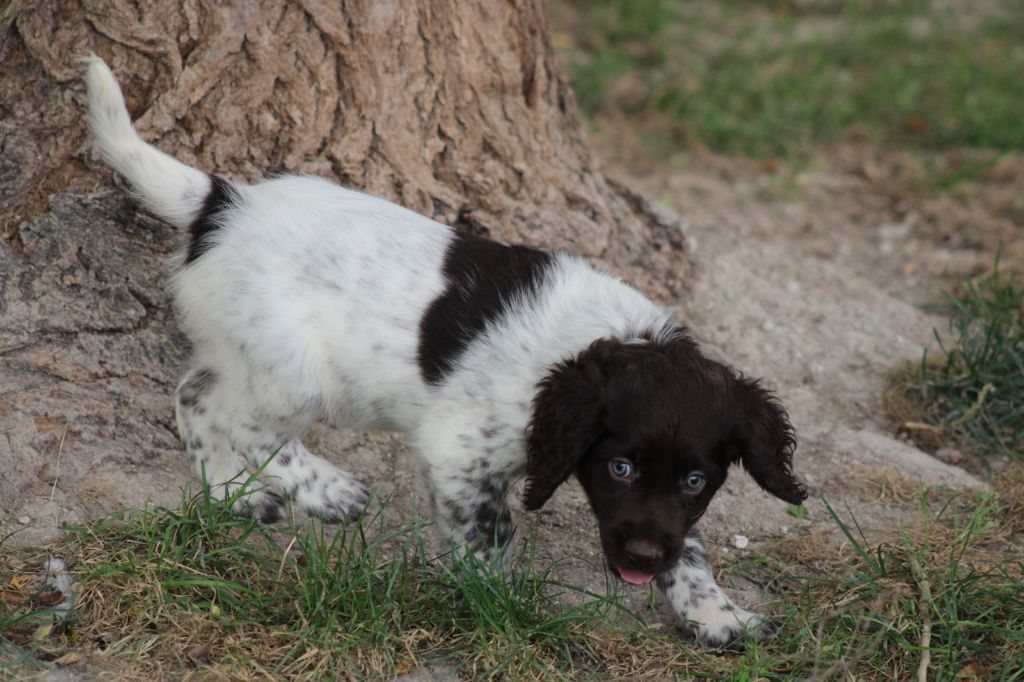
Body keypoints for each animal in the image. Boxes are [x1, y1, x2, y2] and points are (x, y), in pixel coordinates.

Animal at [86, 54, 806, 643]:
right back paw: (327, 490)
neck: (607, 336)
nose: (640, 563)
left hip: (245, 353)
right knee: (243, 420)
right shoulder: (459, 451)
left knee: (195, 395)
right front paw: (500, 604)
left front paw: (714, 612)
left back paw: (232, 491)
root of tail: (223, 204)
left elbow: (692, 548)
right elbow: (490, 533)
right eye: (620, 467)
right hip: (297, 371)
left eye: (695, 480)